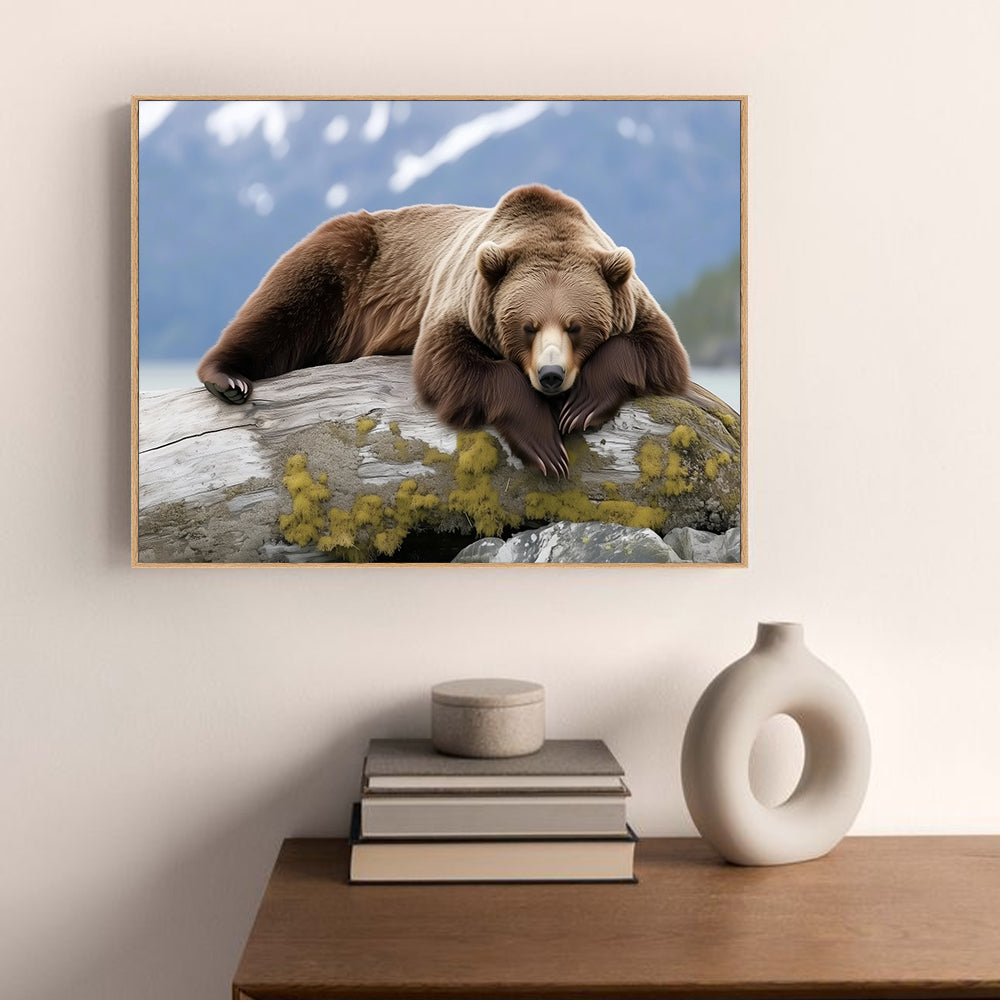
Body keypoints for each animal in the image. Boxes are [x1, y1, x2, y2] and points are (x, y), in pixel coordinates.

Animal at [197, 184, 690, 477]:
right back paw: (228, 377)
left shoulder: (633, 300)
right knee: (284, 304)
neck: (547, 226)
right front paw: (544, 444)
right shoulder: (460, 297)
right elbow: (449, 364)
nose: (551, 376)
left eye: (576, 326)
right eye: (528, 327)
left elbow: (656, 348)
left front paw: (580, 407)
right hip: (348, 262)